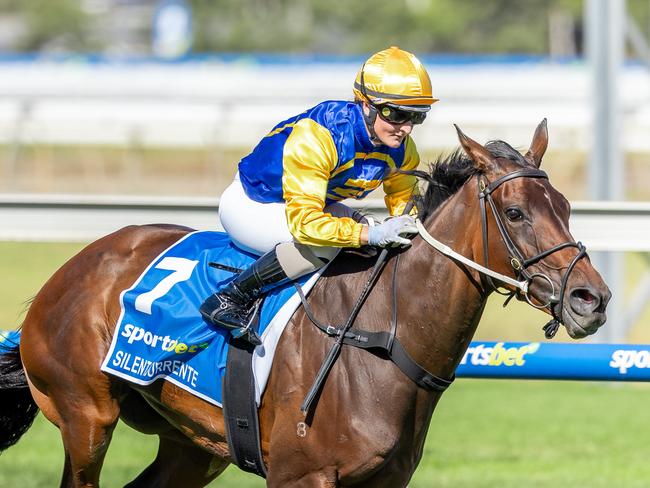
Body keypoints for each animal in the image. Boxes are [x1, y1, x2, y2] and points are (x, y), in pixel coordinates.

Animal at [0, 119, 608, 488]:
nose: (592, 299)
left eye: (564, 206)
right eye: (516, 213)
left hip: (191, 444)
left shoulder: (384, 479)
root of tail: (69, 270)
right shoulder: (300, 476)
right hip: (86, 416)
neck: (381, 340)